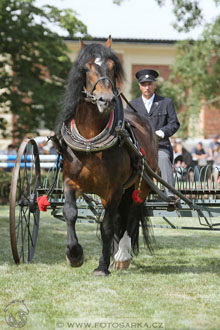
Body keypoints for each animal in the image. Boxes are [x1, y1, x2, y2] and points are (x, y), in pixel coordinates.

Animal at [55, 36, 158, 276]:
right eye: (86, 68)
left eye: (112, 67)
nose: (106, 99)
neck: (90, 141)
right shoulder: (70, 182)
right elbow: (70, 212)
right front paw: (74, 254)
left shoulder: (115, 188)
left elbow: (107, 226)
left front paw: (102, 266)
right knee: (121, 218)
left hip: (142, 183)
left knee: (132, 214)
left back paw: (121, 255)